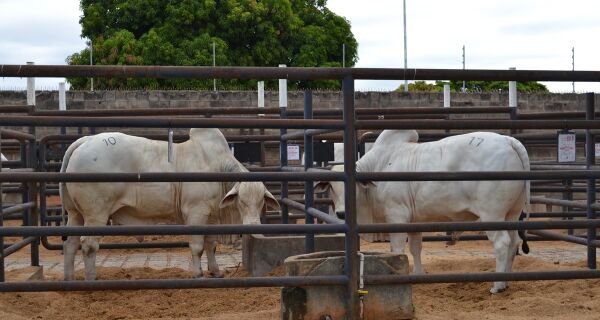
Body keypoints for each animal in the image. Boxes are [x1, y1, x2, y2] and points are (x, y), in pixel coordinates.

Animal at [58, 127, 278, 280]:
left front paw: (216, 272)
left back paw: (70, 279)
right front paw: (198, 274)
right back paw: (91, 279)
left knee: (70, 244)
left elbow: (211, 245)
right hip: (96, 214)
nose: (253, 227)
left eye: (261, 202)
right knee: (88, 245)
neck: (217, 169)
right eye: (242, 201)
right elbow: (197, 246)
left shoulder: (211, 217)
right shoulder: (195, 213)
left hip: (75, 213)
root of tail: (85, 141)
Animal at [316, 129, 528, 292]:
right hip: (511, 214)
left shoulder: (397, 215)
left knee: (502, 243)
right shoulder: (413, 221)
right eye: (331, 187)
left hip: (492, 214)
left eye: (353, 186)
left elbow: (397, 249)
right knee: (513, 242)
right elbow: (415, 248)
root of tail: (509, 141)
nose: (341, 213)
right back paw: (507, 281)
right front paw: (417, 275)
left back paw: (497, 285)